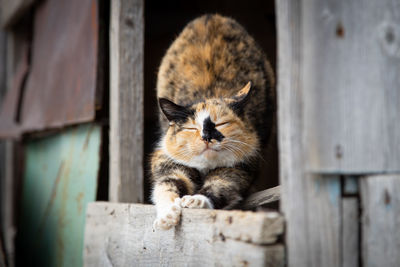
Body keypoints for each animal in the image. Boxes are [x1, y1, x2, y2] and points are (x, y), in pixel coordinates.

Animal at [150, 14, 276, 230]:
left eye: (221, 124)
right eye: (191, 127)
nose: (207, 137)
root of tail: (212, 17)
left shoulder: (239, 166)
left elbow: (221, 185)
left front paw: (196, 200)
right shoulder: (166, 160)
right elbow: (166, 184)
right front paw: (167, 216)